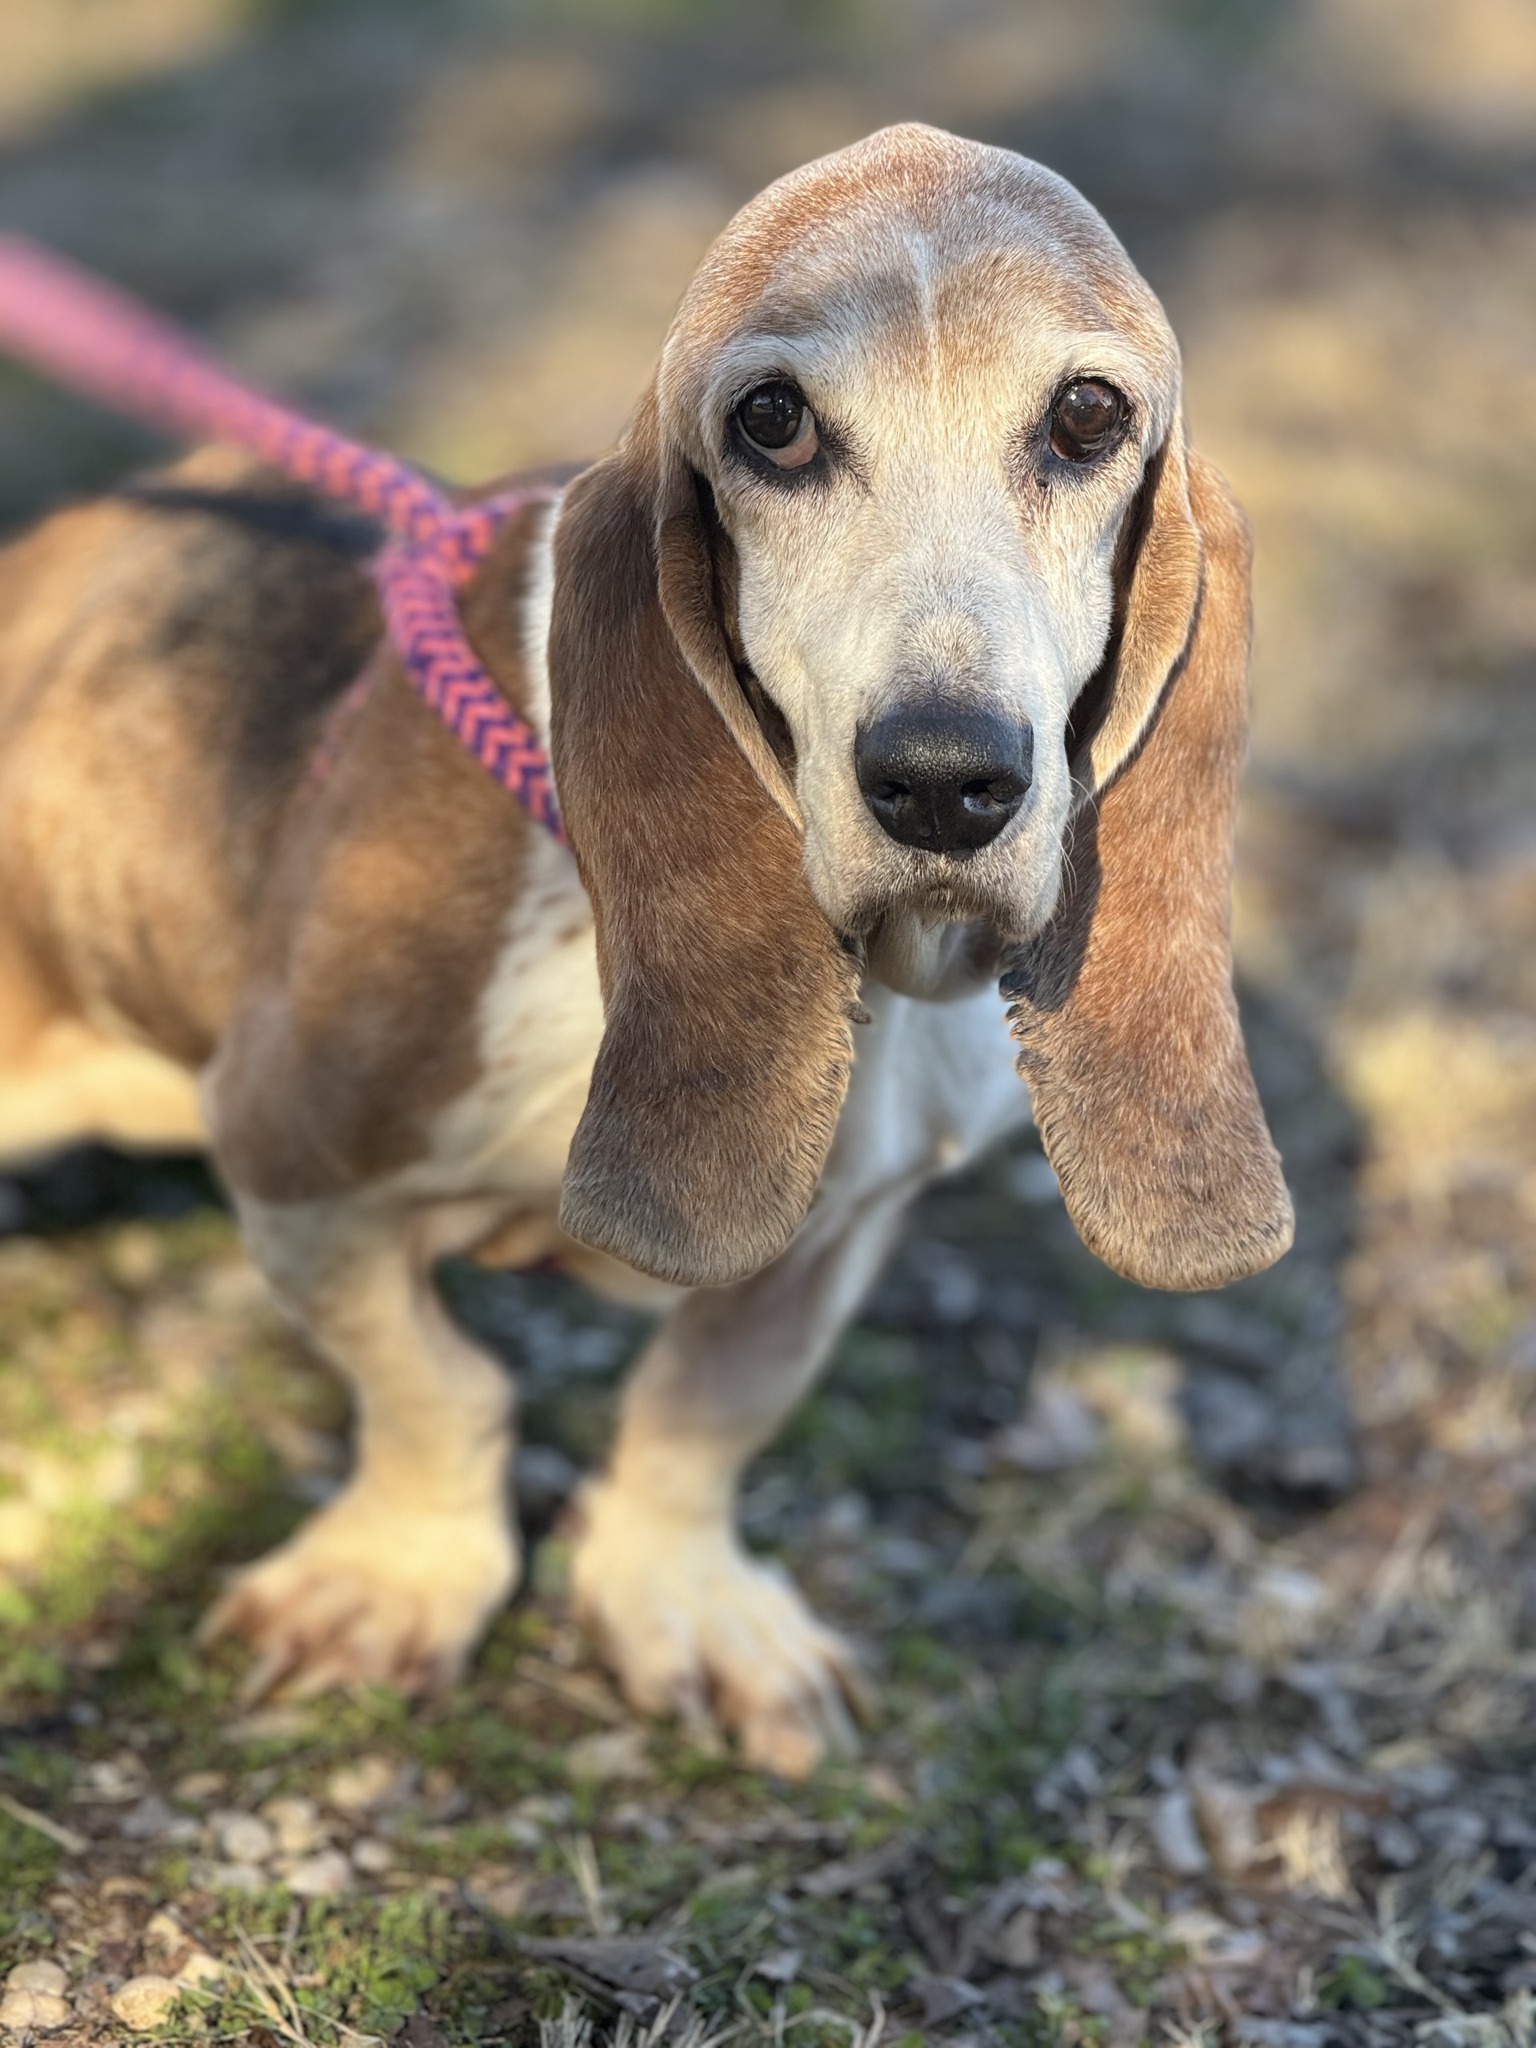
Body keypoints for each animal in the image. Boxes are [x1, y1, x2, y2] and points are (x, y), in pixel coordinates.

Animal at [0, 128, 1302, 1777]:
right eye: (771, 422)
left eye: (1087, 416)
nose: (945, 782)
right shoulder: (295, 1152)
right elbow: (435, 1387)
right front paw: (393, 1582)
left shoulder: (848, 1221)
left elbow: (703, 1409)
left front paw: (683, 1602)